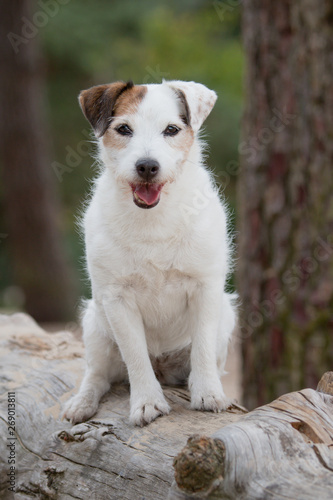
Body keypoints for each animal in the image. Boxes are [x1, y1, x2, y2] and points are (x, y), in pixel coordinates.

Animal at [63, 78, 236, 426]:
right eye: (124, 129)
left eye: (171, 129)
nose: (147, 166)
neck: (153, 219)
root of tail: (164, 366)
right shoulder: (117, 300)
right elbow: (135, 356)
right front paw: (146, 403)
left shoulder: (206, 289)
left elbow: (203, 349)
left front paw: (208, 394)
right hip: (95, 324)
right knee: (97, 375)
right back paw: (82, 403)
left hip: (226, 315)